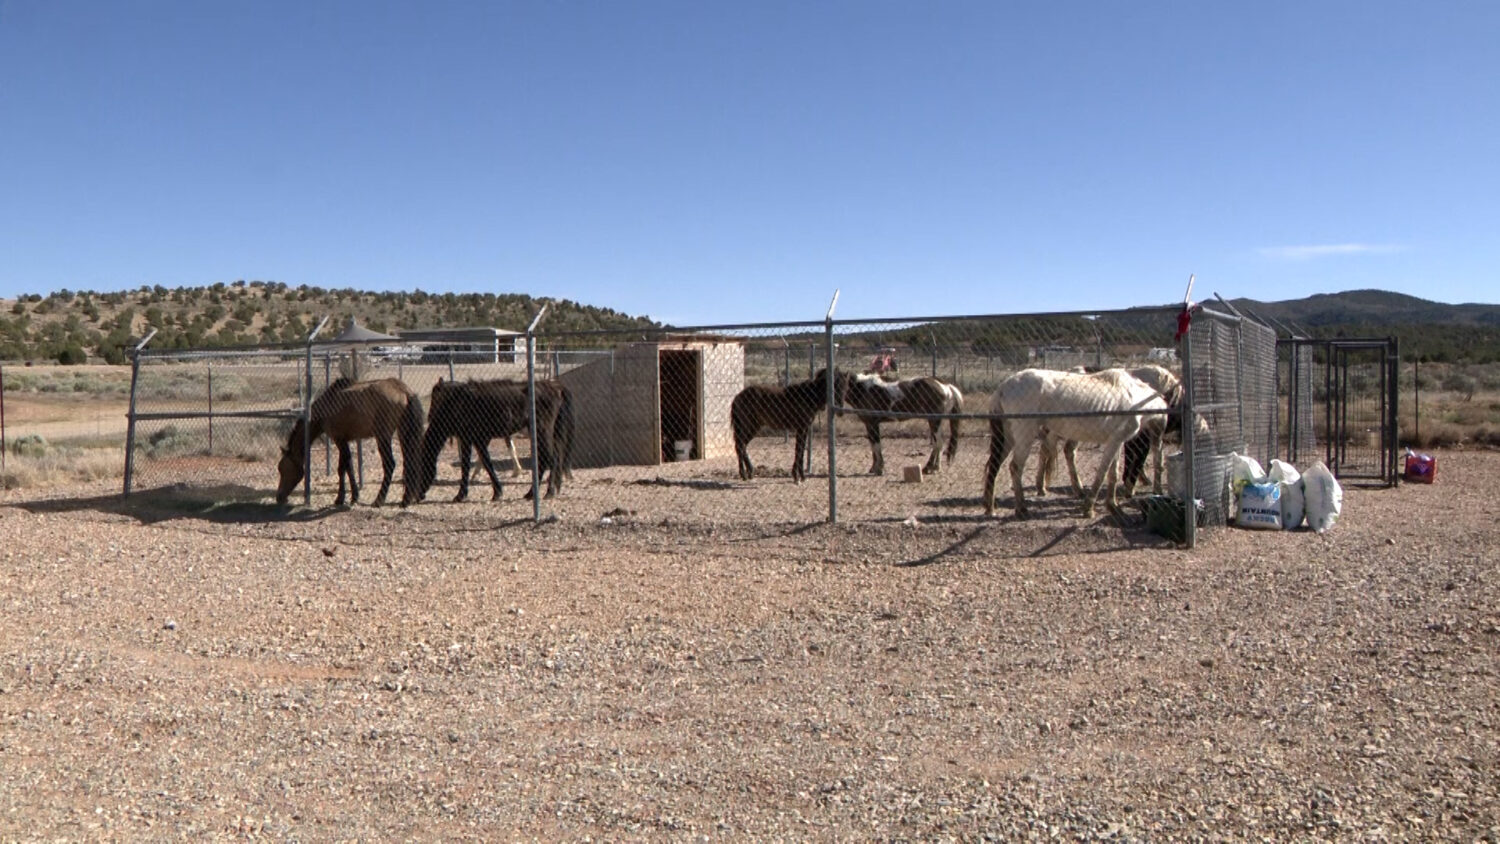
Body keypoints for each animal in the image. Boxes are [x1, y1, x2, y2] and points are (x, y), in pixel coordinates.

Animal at [276, 377, 425, 508]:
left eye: (283, 469)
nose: (279, 497)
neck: (327, 405)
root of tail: (404, 391)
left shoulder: (338, 439)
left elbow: (344, 467)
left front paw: (344, 498)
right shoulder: (344, 440)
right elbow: (347, 466)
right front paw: (349, 497)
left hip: (383, 437)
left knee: (390, 464)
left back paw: (379, 500)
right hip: (404, 433)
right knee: (410, 462)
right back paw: (406, 500)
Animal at [410, 377, 574, 502]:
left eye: (420, 467)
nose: (417, 496)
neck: (454, 405)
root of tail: (556, 388)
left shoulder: (470, 439)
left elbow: (472, 465)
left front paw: (462, 495)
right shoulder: (476, 440)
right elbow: (482, 463)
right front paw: (495, 492)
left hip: (542, 430)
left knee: (548, 458)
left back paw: (546, 492)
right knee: (551, 457)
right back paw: (535, 493)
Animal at [982, 368, 1169, 519]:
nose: (1159, 444)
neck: (1134, 398)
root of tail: (1003, 388)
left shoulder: (1116, 441)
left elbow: (1113, 474)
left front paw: (1113, 506)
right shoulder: (1115, 442)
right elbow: (1102, 473)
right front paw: (1089, 508)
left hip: (1007, 437)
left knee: (994, 465)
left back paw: (990, 507)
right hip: (1024, 435)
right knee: (1015, 467)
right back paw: (1021, 509)